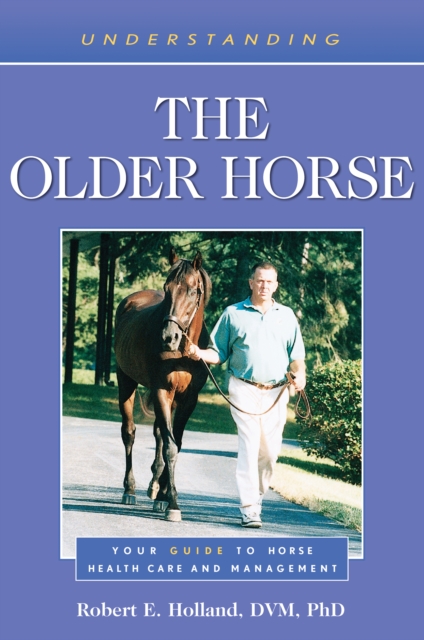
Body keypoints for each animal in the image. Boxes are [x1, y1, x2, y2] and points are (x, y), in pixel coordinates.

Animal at [114, 248, 212, 521]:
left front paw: (165, 495)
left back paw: (155, 485)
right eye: (167, 288)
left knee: (158, 432)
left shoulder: (188, 400)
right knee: (129, 433)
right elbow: (170, 447)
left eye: (192, 290)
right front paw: (173, 503)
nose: (169, 337)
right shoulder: (162, 391)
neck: (182, 353)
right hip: (126, 382)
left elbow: (175, 442)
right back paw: (130, 490)